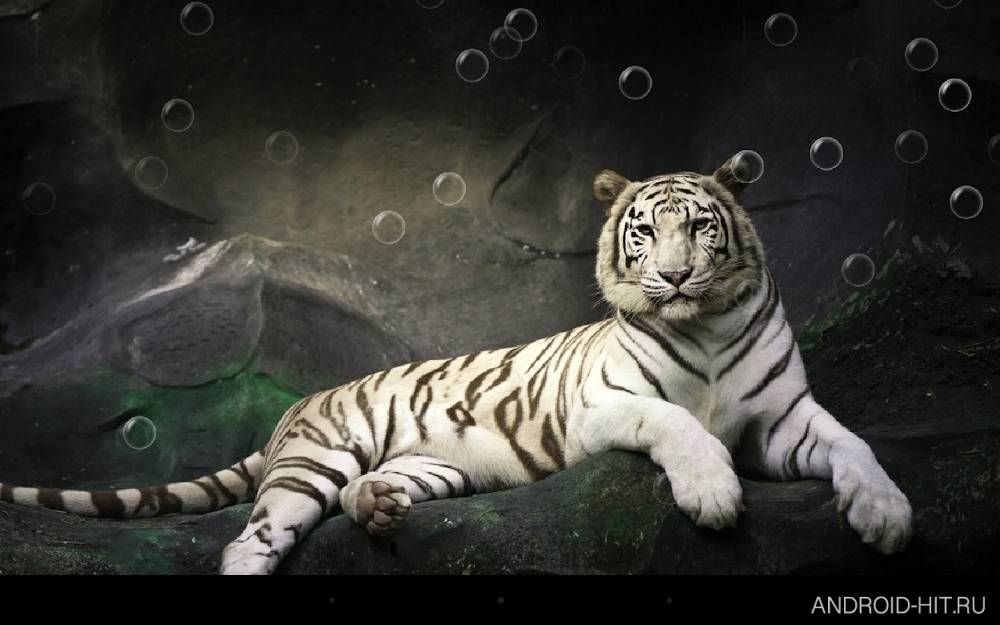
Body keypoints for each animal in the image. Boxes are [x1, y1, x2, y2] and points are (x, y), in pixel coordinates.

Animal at [0, 156, 912, 575]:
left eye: (701, 227)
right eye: (644, 232)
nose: (676, 275)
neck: (710, 326)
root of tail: (297, 406)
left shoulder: (786, 420)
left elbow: (857, 445)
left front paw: (887, 515)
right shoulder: (604, 405)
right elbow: (678, 421)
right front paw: (715, 493)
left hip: (435, 464)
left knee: (375, 490)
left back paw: (378, 509)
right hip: (311, 465)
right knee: (248, 541)